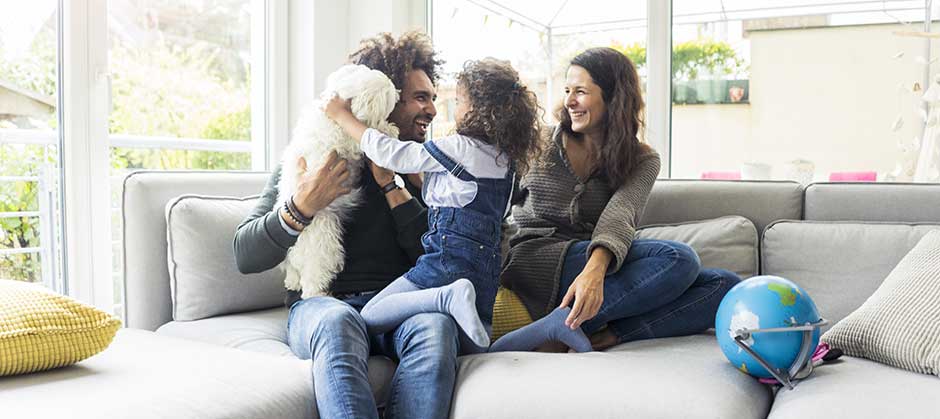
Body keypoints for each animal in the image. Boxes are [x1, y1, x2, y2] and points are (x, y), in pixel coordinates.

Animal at [278, 64, 398, 298]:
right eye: (388, 98)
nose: (398, 94)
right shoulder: (347, 139)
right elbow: (366, 134)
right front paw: (388, 128)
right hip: (325, 240)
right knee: (314, 275)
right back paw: (315, 293)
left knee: (292, 269)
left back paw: (292, 281)